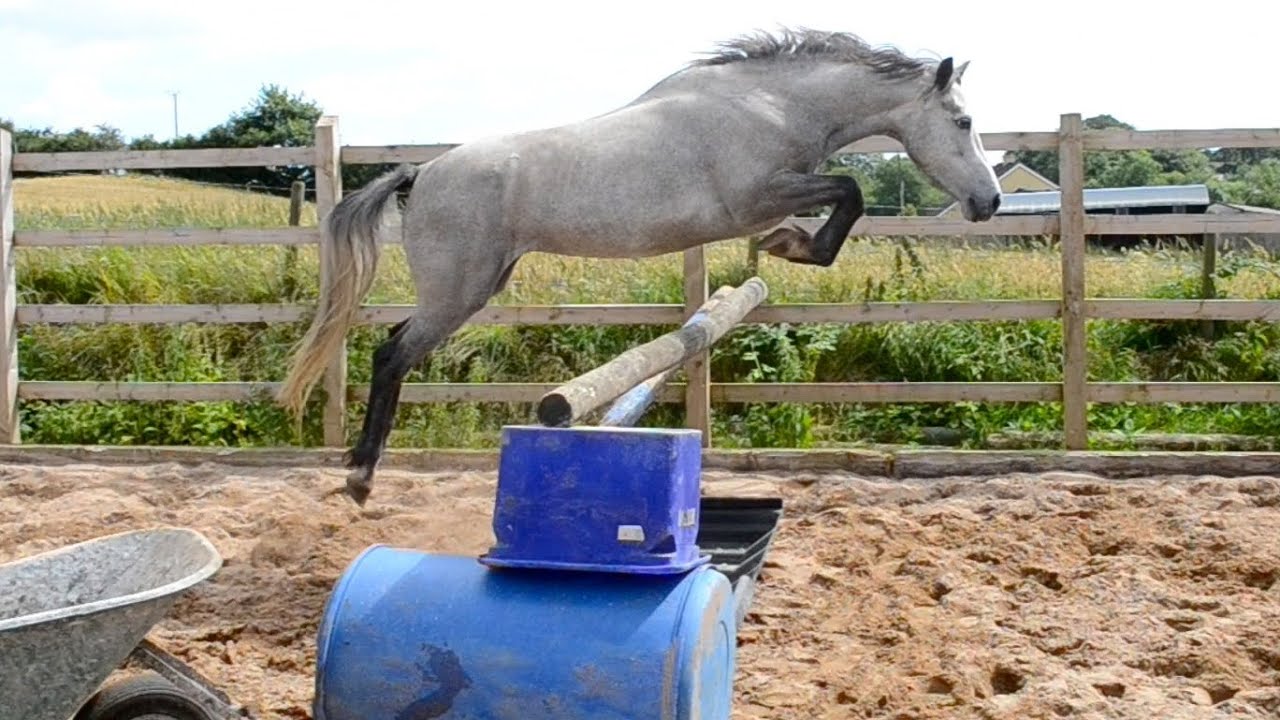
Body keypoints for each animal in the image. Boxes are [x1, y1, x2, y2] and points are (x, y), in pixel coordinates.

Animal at [276, 27, 1003, 505]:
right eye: (963, 122)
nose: (990, 202)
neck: (769, 105)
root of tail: (420, 174)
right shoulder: (755, 198)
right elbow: (848, 190)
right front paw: (792, 245)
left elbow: (844, 193)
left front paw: (790, 243)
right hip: (458, 291)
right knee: (391, 355)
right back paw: (360, 478)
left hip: (476, 285)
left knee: (394, 348)